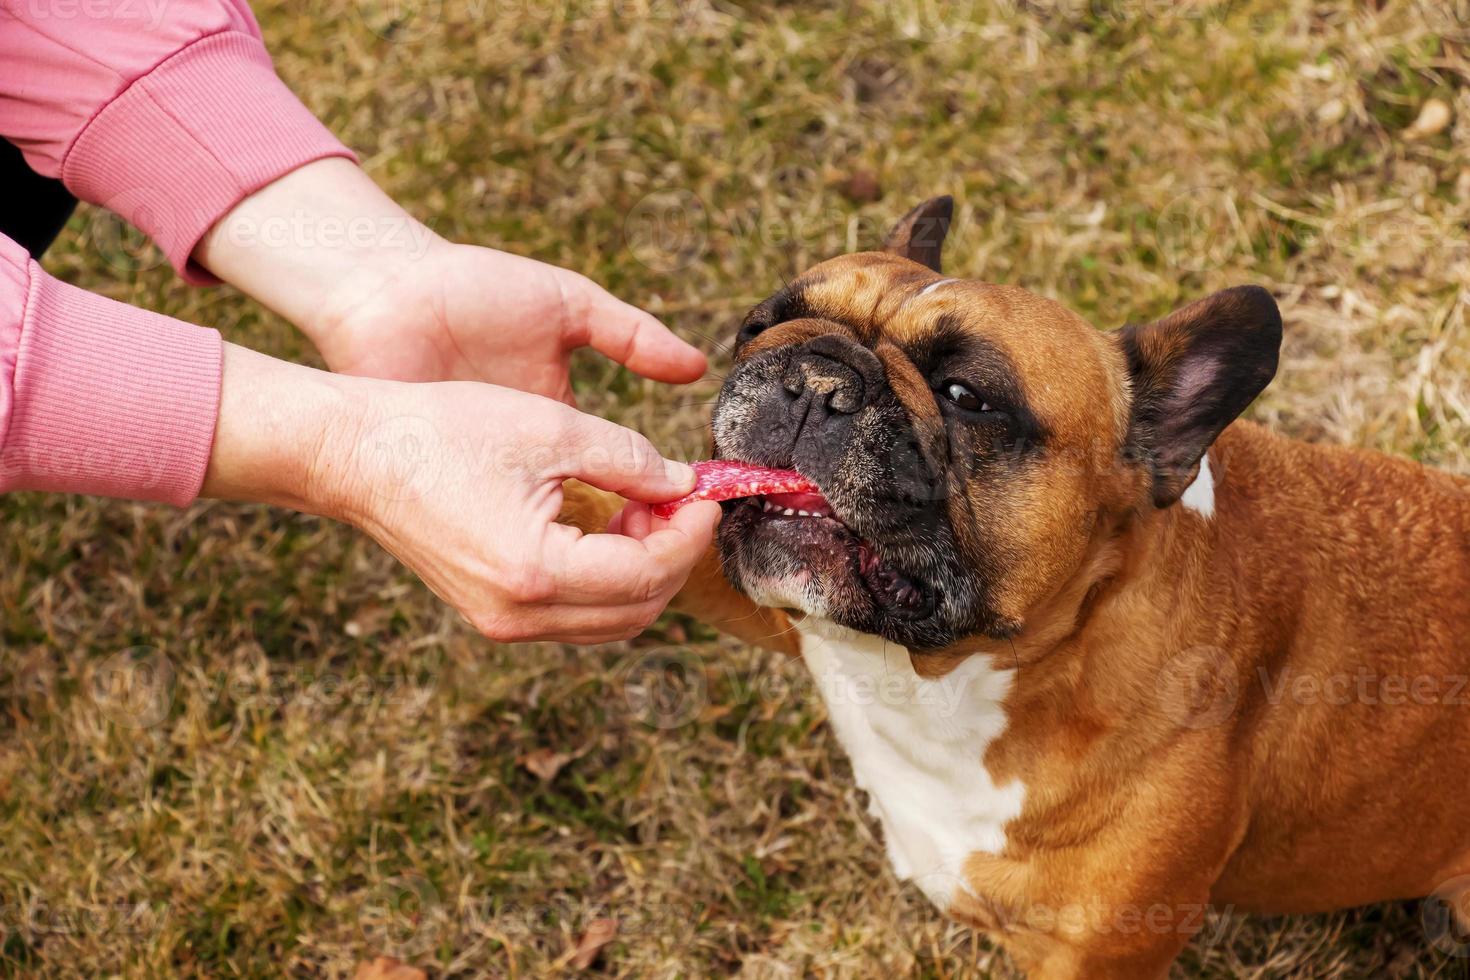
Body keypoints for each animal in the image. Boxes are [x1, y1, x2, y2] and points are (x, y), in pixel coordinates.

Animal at [558, 195, 1470, 975]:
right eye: (762, 324)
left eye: (968, 398)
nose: (814, 376)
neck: (949, 679)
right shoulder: (786, 611)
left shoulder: (1103, 956)